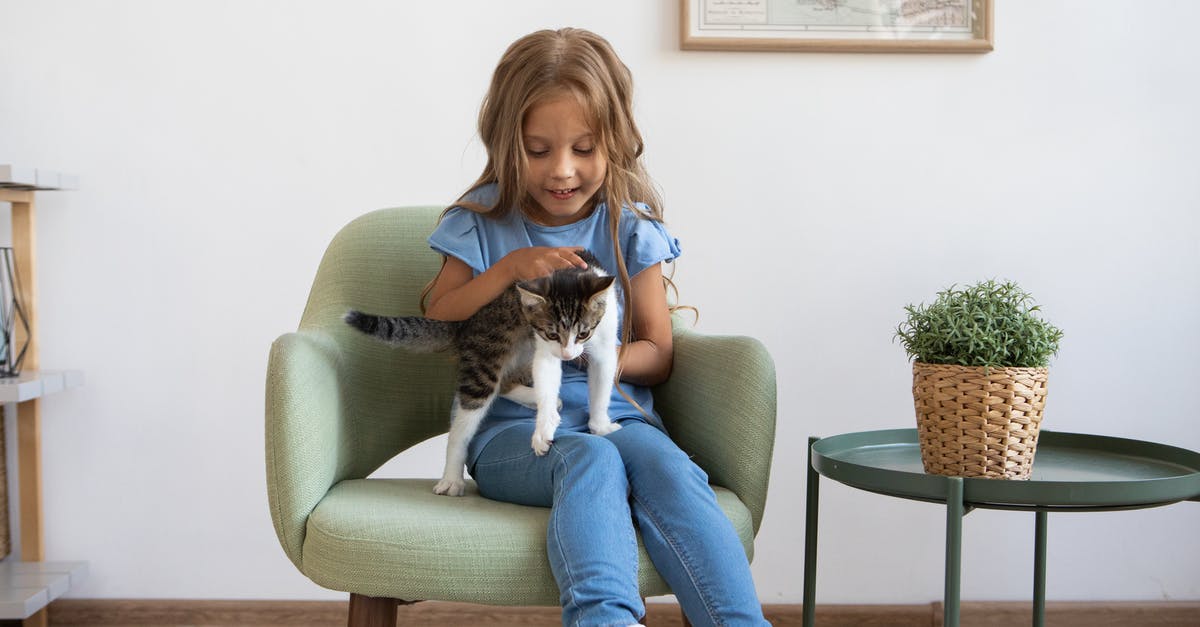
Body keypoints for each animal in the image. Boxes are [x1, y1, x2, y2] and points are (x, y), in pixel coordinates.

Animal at [345, 248, 619, 492]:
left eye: (583, 333)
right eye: (552, 333)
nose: (567, 355)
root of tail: (465, 324)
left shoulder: (605, 341)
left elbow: (602, 384)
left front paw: (600, 425)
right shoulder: (543, 344)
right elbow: (547, 379)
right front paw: (544, 429)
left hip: (522, 346)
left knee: (506, 382)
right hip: (487, 357)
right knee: (468, 417)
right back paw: (451, 479)